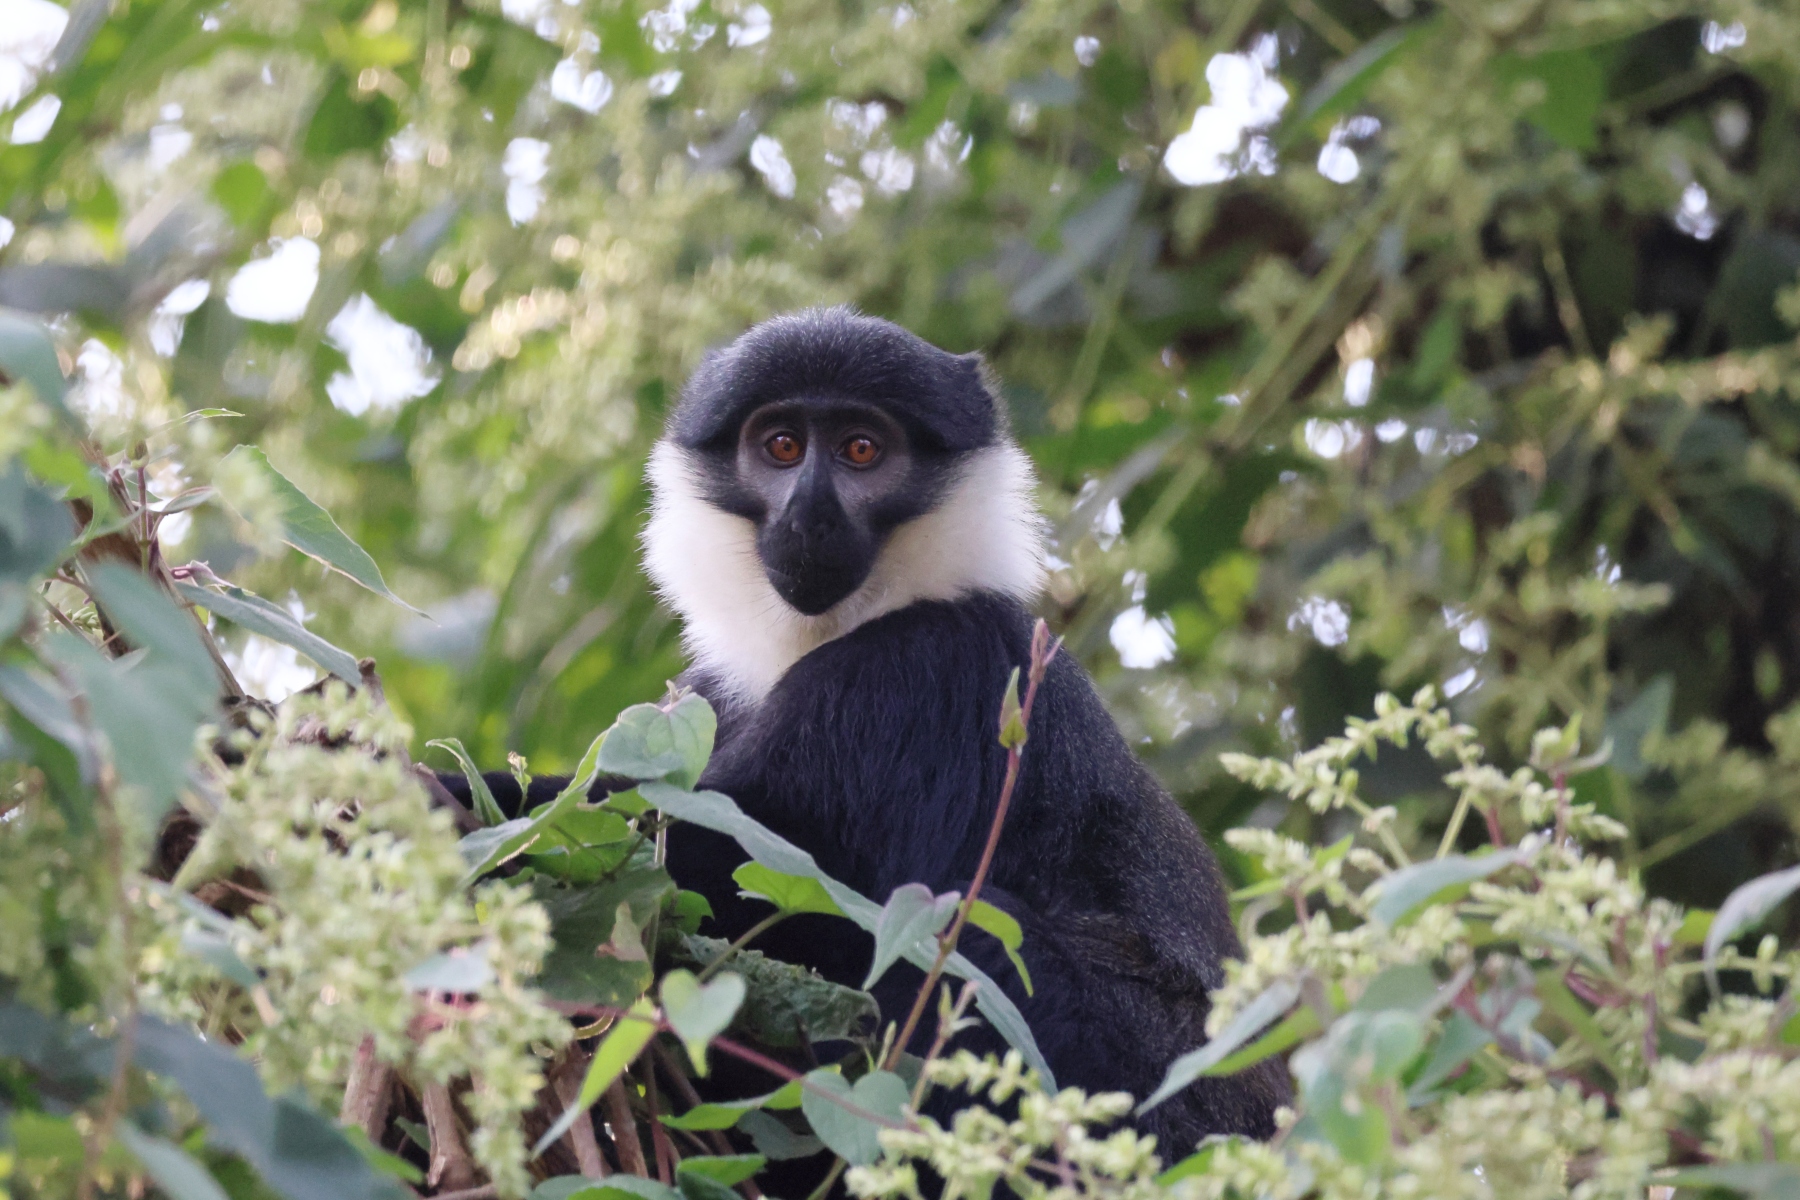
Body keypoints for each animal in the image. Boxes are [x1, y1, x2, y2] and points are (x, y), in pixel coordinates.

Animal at [444, 307, 1287, 1155]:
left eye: (861, 450)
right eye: (782, 446)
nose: (810, 514)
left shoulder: (926, 665)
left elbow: (745, 858)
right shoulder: (698, 698)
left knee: (958, 934)